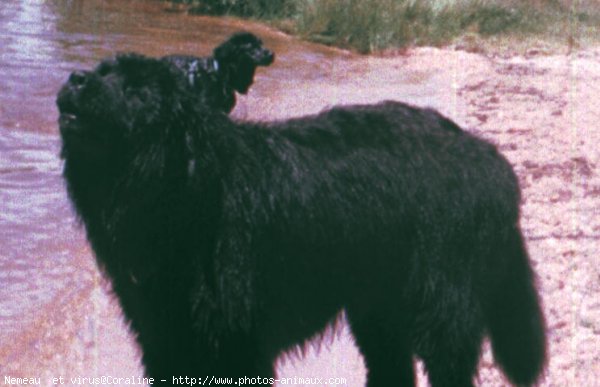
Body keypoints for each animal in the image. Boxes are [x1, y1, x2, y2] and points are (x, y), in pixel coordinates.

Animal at [58, 53, 548, 386]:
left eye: (138, 91)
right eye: (103, 71)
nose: (76, 78)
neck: (187, 190)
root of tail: (486, 154)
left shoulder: (237, 342)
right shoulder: (165, 336)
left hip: (442, 299)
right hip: (378, 305)